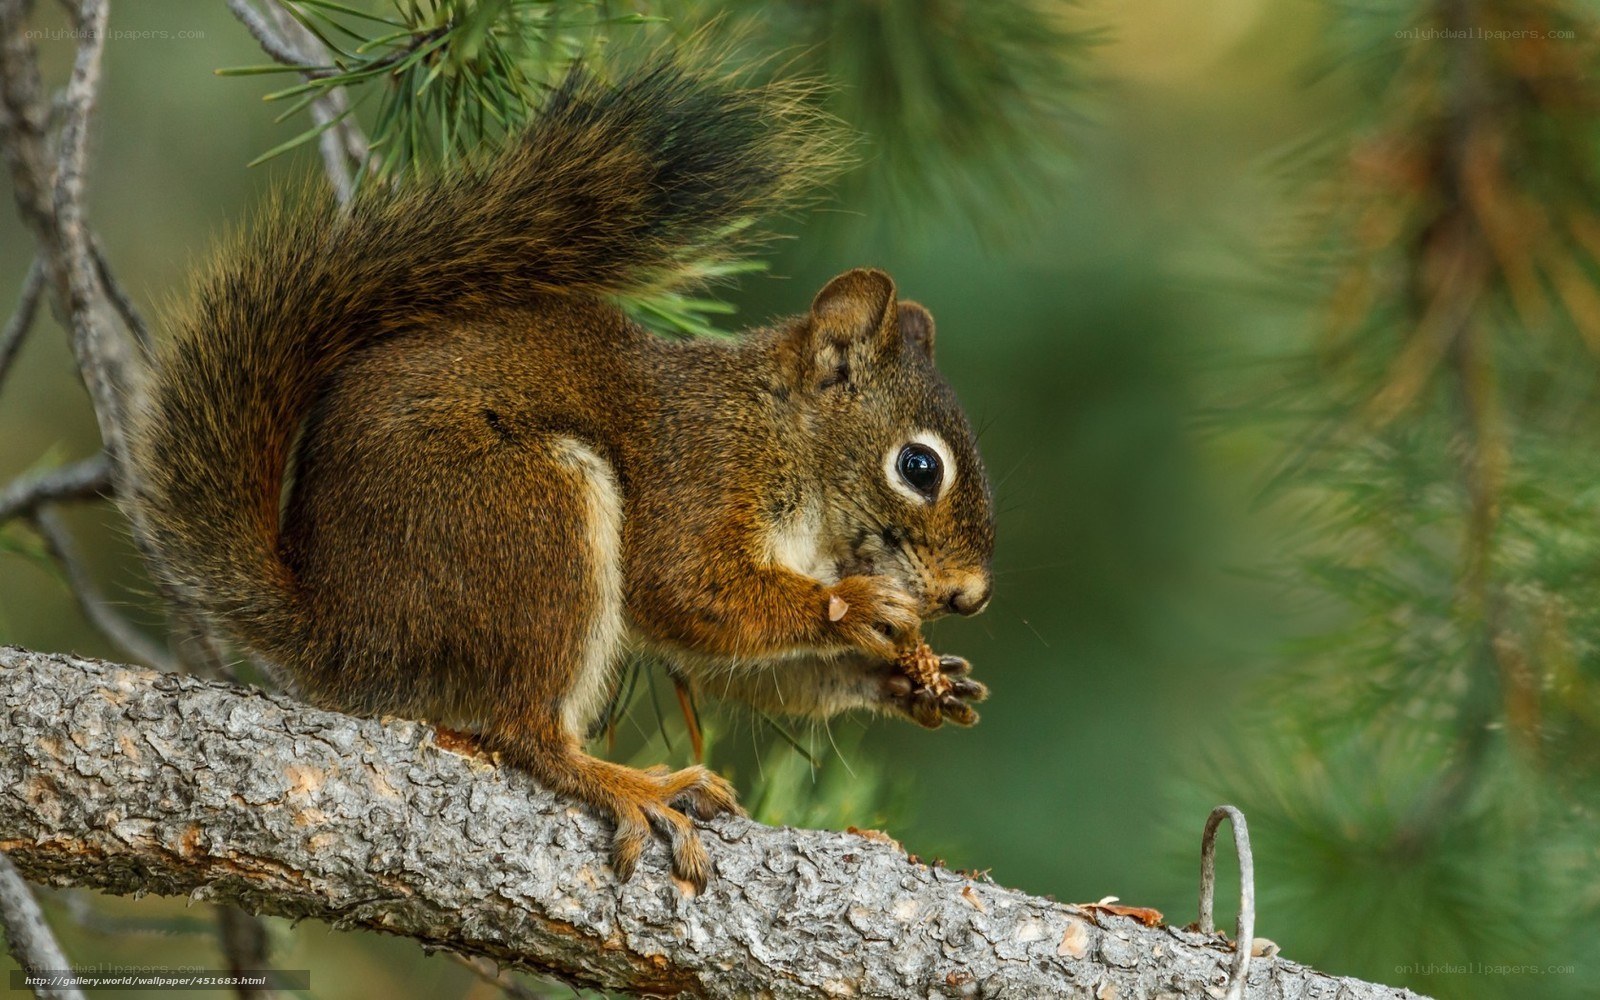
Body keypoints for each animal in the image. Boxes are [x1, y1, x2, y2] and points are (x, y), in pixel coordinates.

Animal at [125, 61, 995, 890]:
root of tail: (343, 631)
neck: (789, 442)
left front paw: (915, 681)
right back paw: (635, 786)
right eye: (919, 466)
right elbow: (687, 590)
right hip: (529, 518)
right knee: (526, 731)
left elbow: (738, 662)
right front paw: (857, 607)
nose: (971, 597)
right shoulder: (703, 470)